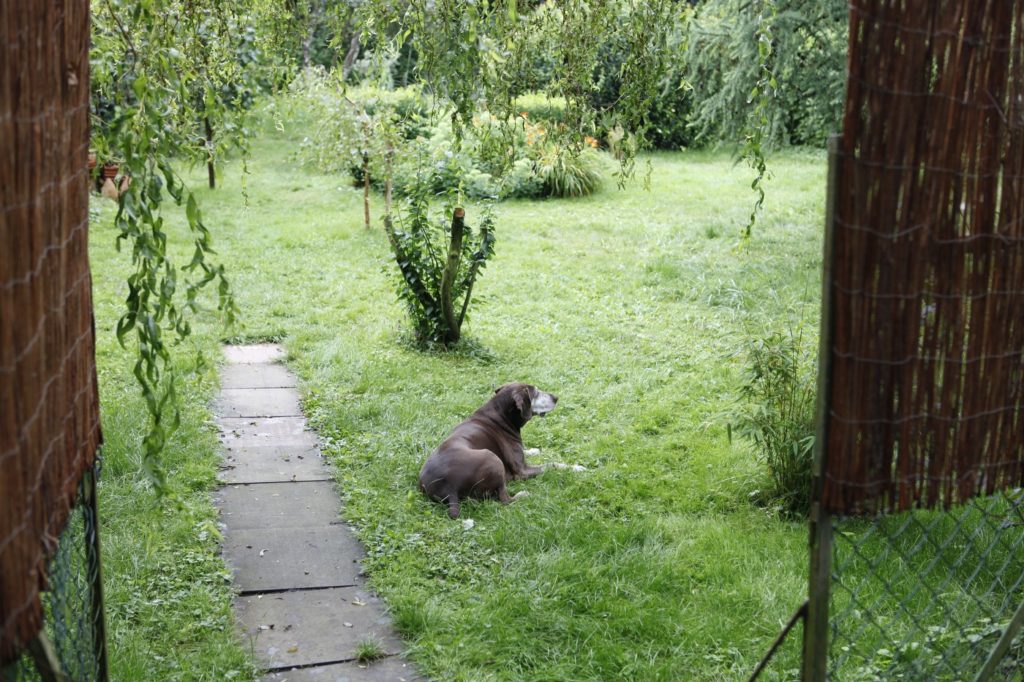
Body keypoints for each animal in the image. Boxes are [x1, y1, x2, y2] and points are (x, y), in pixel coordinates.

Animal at [413, 378, 577, 518]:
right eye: (535, 392)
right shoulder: (521, 471)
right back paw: (523, 495)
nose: (556, 397)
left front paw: (535, 450)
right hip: (492, 457)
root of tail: (448, 488)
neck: (500, 415)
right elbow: (551, 464)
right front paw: (576, 467)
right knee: (505, 499)